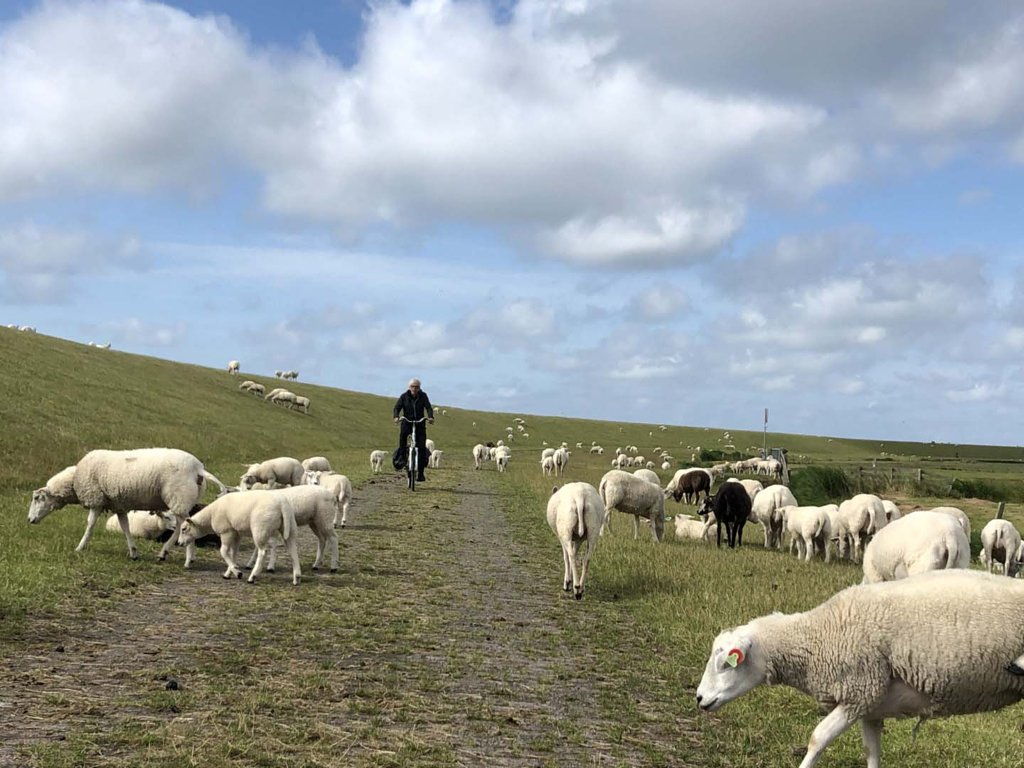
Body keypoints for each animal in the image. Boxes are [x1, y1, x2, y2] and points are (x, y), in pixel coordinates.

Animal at [27, 448, 229, 569]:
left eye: (37, 498)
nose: (29, 520)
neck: (74, 480)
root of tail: (199, 469)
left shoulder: (96, 499)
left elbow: (90, 525)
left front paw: (80, 547)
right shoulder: (119, 505)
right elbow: (125, 527)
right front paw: (133, 552)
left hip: (179, 497)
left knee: (183, 525)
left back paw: (185, 559)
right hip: (182, 500)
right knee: (181, 525)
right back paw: (168, 553)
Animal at [692, 573, 1024, 768]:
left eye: (725, 664)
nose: (698, 699)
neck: (816, 637)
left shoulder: (857, 693)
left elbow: (817, 739)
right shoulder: (872, 705)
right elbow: (871, 752)